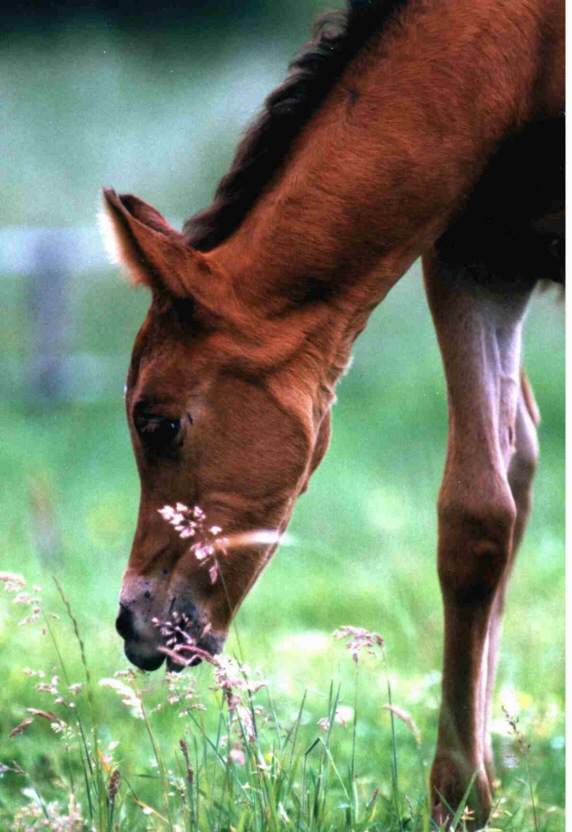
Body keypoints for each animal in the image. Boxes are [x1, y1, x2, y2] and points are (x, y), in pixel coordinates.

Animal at [101, 0, 564, 824]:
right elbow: (477, 516)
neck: (523, 56)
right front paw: (461, 798)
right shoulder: (475, 262)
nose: (135, 621)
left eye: (159, 422)